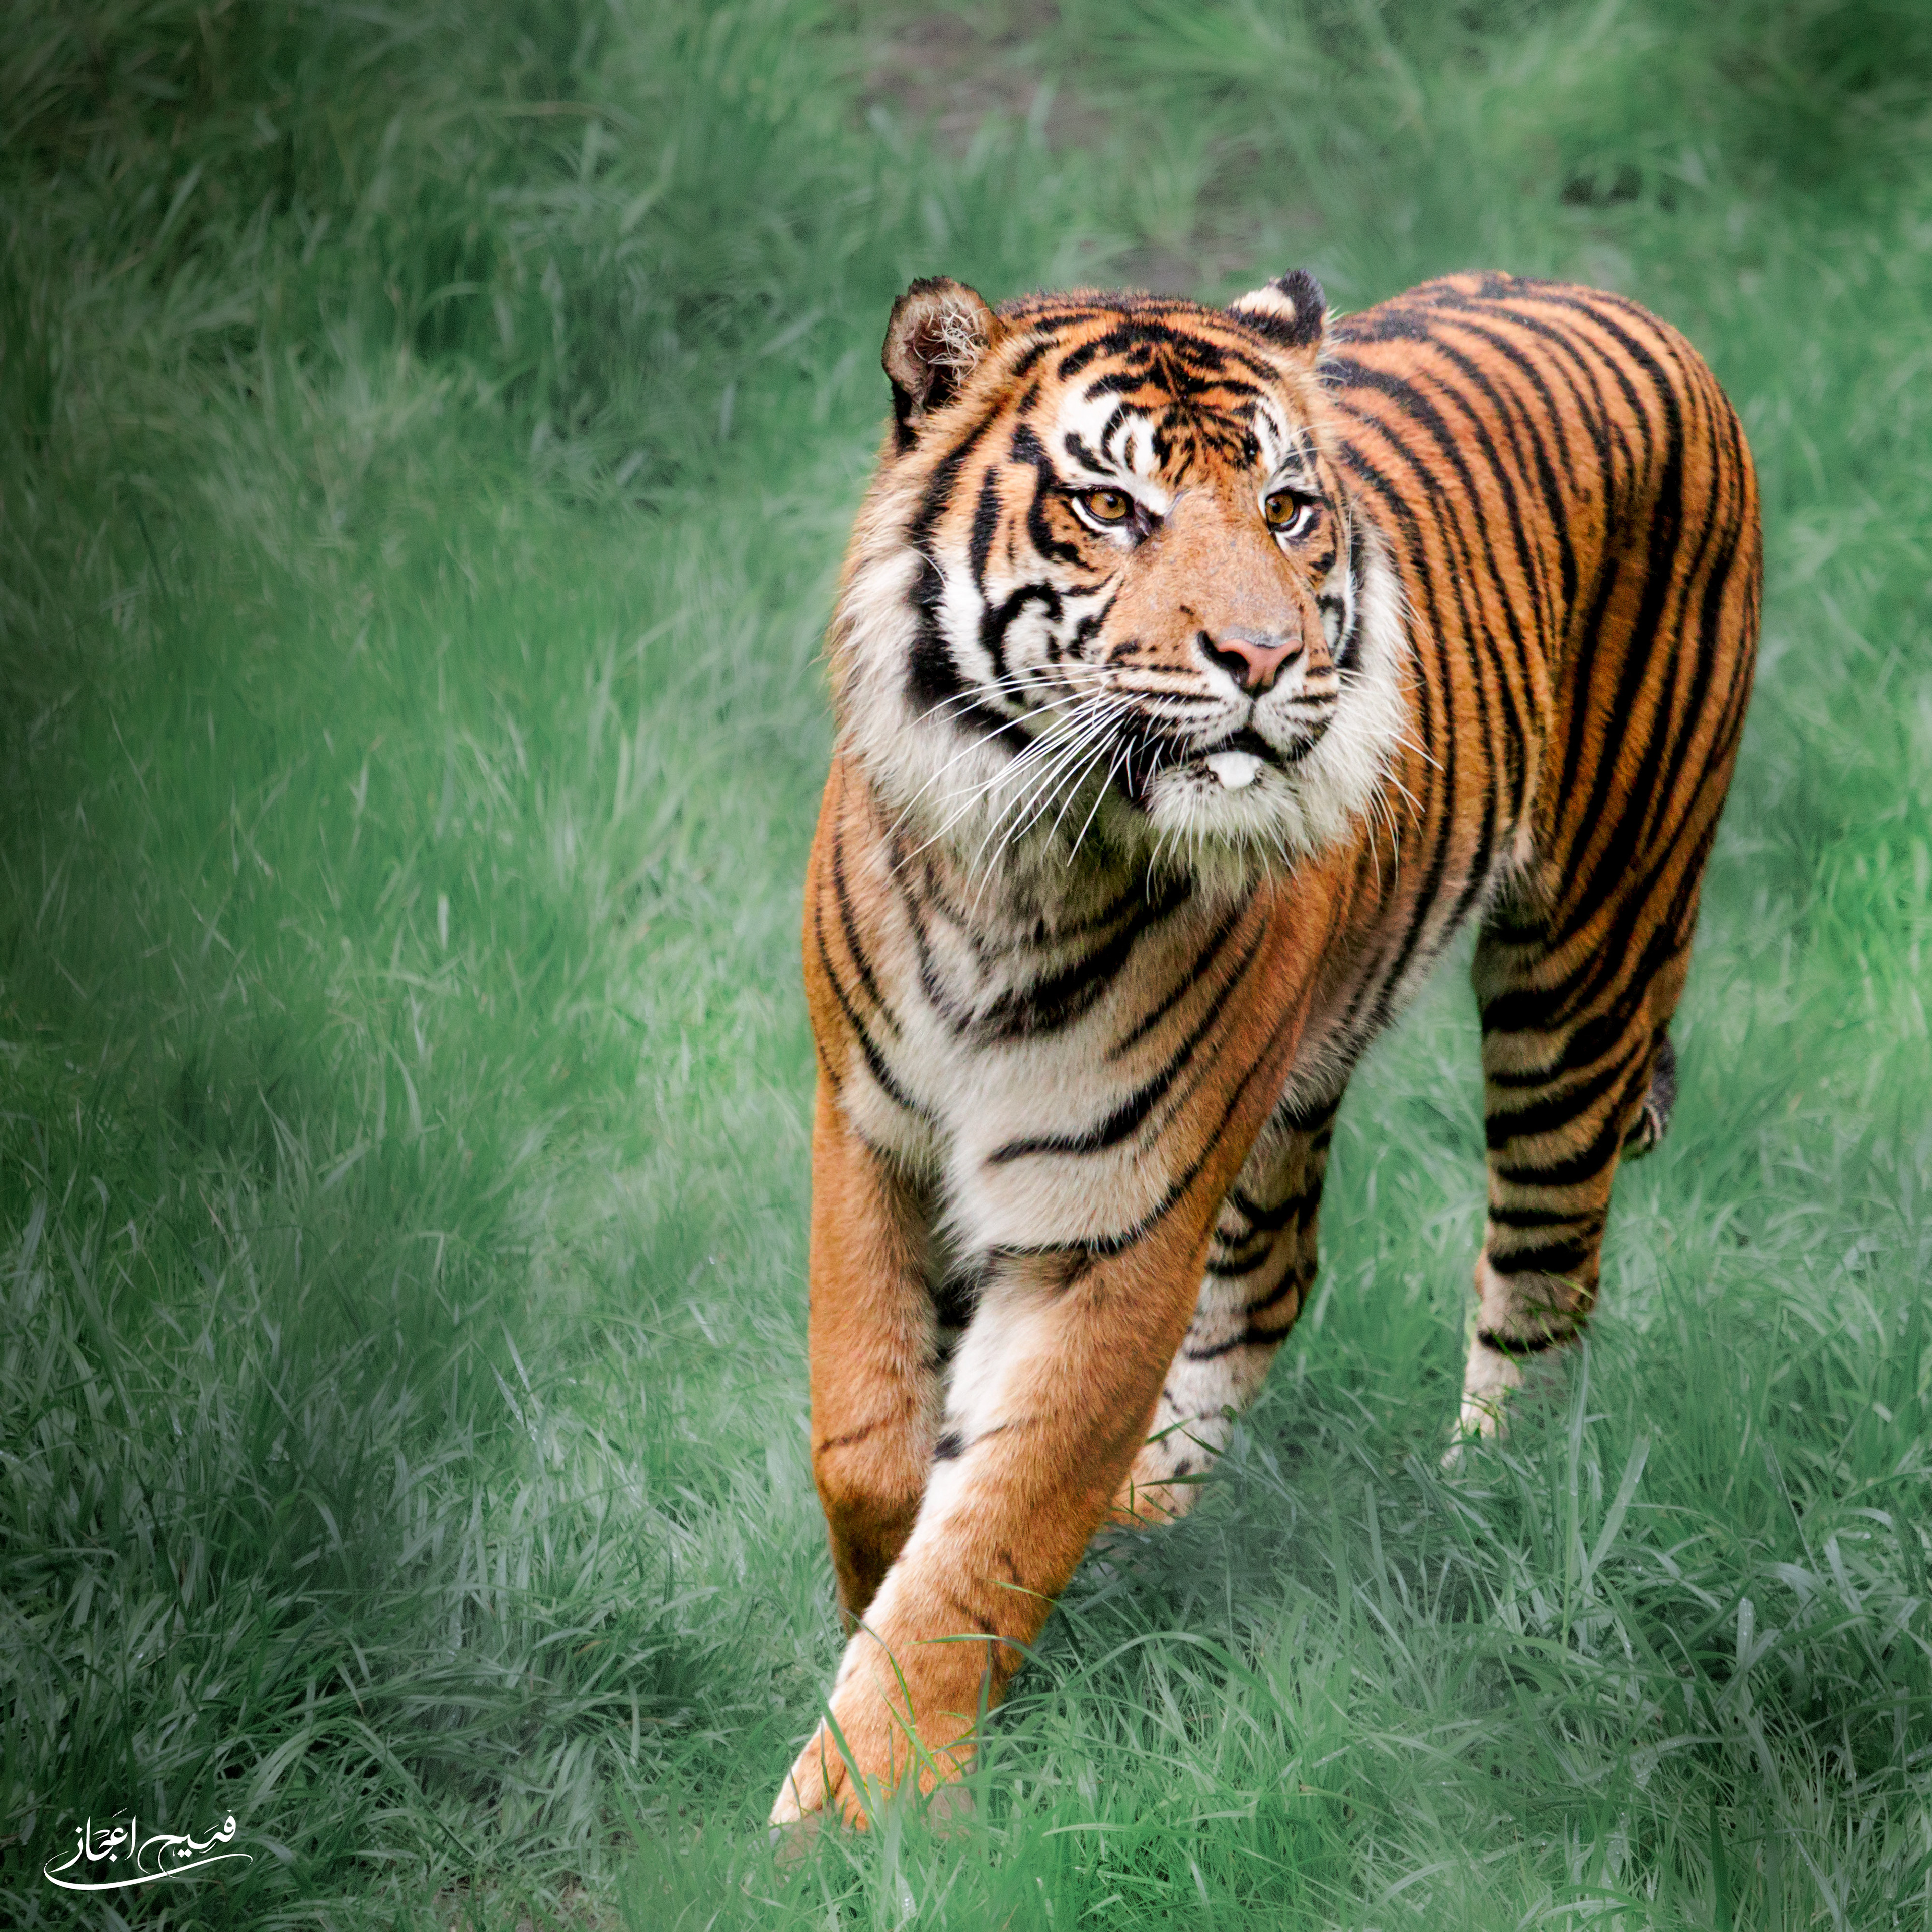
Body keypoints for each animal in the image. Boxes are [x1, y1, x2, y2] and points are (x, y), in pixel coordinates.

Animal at [773, 269, 1760, 1831]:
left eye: (1289, 509)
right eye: (1109, 507)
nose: (1264, 658)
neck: (1019, 867)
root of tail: (1625, 303)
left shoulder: (1110, 1218)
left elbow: (995, 1526)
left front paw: (855, 1813)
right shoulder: (868, 1125)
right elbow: (867, 1437)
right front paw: (879, 1596)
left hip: (1586, 958)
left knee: (1543, 1279)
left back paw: (1484, 1513)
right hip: (1290, 1081)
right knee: (1271, 1281)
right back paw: (1146, 1525)